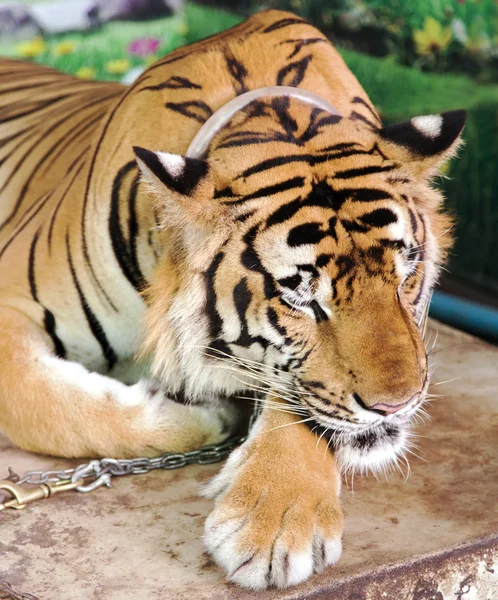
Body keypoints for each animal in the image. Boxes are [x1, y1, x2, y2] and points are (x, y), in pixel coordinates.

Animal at [0, 9, 466, 592]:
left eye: (406, 273)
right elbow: (50, 405)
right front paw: (205, 422)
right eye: (300, 296)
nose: (396, 406)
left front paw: (275, 522)